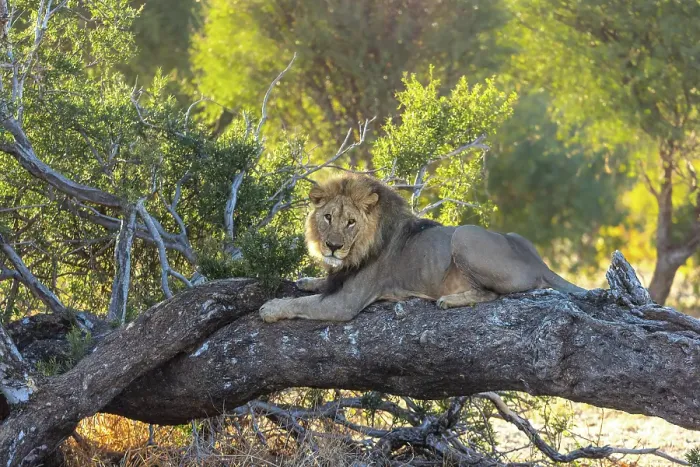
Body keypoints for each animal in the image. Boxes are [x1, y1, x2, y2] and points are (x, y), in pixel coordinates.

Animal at [259, 174, 585, 323]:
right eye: (328, 217)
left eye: (351, 222)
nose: (332, 246)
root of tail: (539, 262)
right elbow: (318, 285)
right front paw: (306, 279)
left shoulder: (345, 304)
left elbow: (302, 304)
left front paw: (271, 308)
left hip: (463, 236)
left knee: (491, 294)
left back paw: (447, 300)